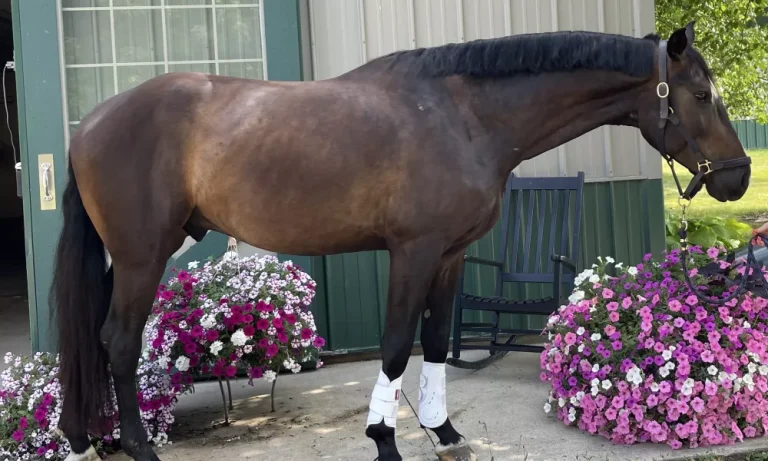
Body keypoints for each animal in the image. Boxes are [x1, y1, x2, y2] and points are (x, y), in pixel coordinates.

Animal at [52, 21, 750, 461]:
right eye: (699, 94)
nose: (739, 177)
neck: (462, 116)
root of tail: (89, 124)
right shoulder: (413, 252)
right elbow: (393, 349)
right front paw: (385, 440)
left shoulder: (450, 256)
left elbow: (436, 344)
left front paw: (444, 431)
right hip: (143, 256)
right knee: (119, 341)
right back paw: (138, 447)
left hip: (128, 259)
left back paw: (97, 439)